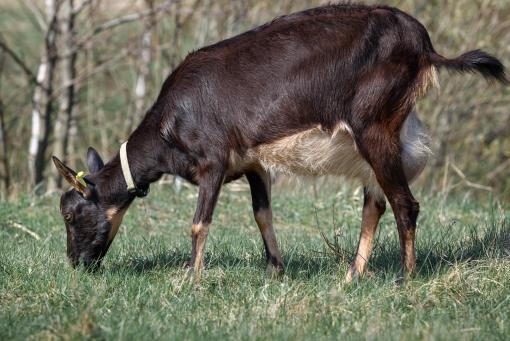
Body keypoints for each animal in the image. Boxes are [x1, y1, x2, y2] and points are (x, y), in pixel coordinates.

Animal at [51, 3, 506, 278]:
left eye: (70, 215)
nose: (75, 263)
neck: (170, 125)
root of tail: (424, 44)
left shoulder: (213, 161)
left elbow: (200, 222)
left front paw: (190, 281)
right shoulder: (252, 163)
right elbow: (262, 214)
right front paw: (276, 269)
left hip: (373, 126)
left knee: (404, 203)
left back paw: (404, 278)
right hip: (387, 133)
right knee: (375, 202)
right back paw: (352, 275)